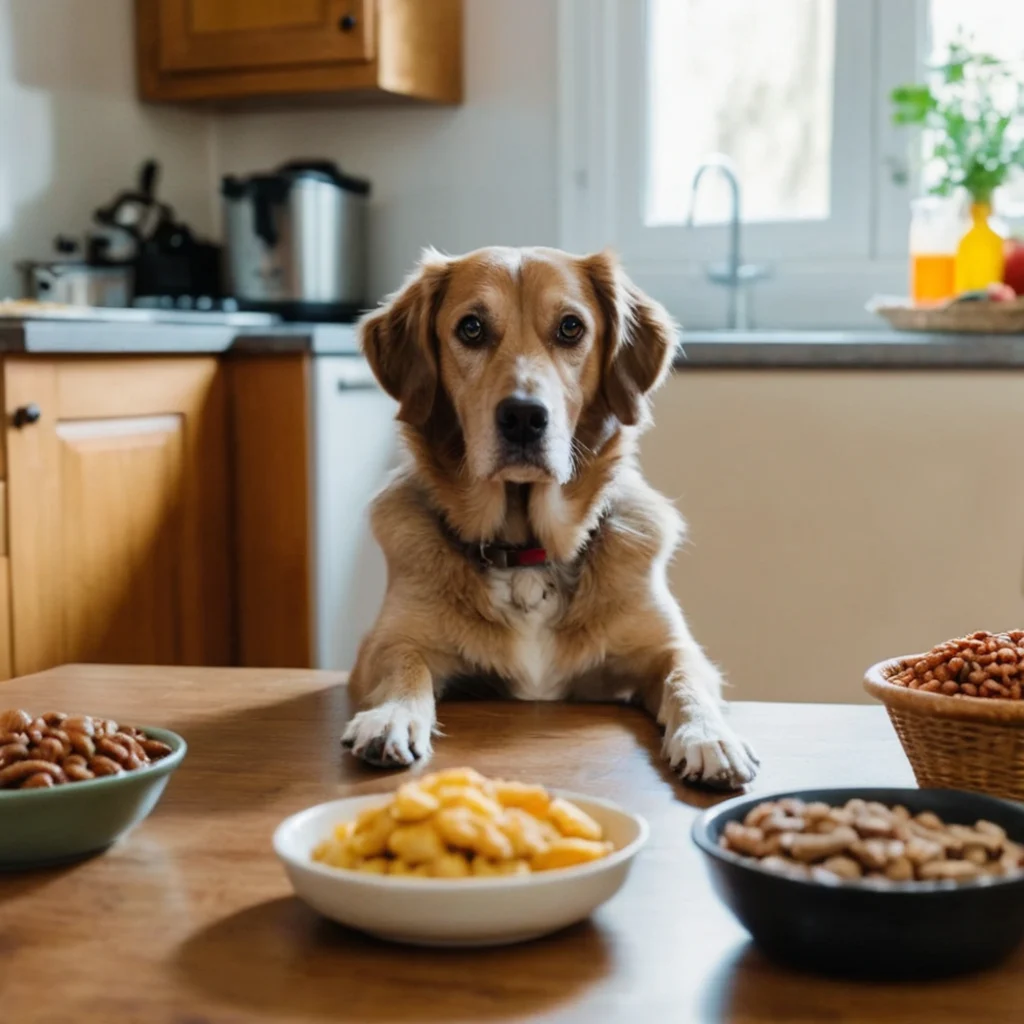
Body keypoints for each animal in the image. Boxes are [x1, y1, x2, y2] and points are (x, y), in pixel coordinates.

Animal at [344, 247, 761, 790]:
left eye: (570, 328)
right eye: (471, 328)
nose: (523, 417)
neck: (527, 552)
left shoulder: (669, 646)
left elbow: (686, 678)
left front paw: (709, 737)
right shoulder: (386, 643)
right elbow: (404, 667)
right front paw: (391, 716)